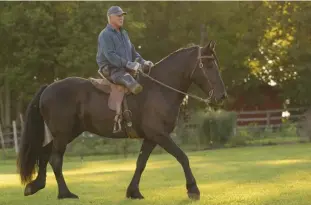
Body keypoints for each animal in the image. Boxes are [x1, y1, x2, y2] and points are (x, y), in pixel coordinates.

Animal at [16, 40, 227, 201]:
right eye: (209, 65)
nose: (222, 96)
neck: (159, 90)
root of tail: (48, 87)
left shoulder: (151, 137)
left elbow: (141, 163)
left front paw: (133, 192)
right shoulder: (159, 134)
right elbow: (182, 157)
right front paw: (193, 189)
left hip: (63, 134)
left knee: (44, 155)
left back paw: (36, 186)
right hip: (62, 134)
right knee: (55, 159)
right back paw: (65, 194)